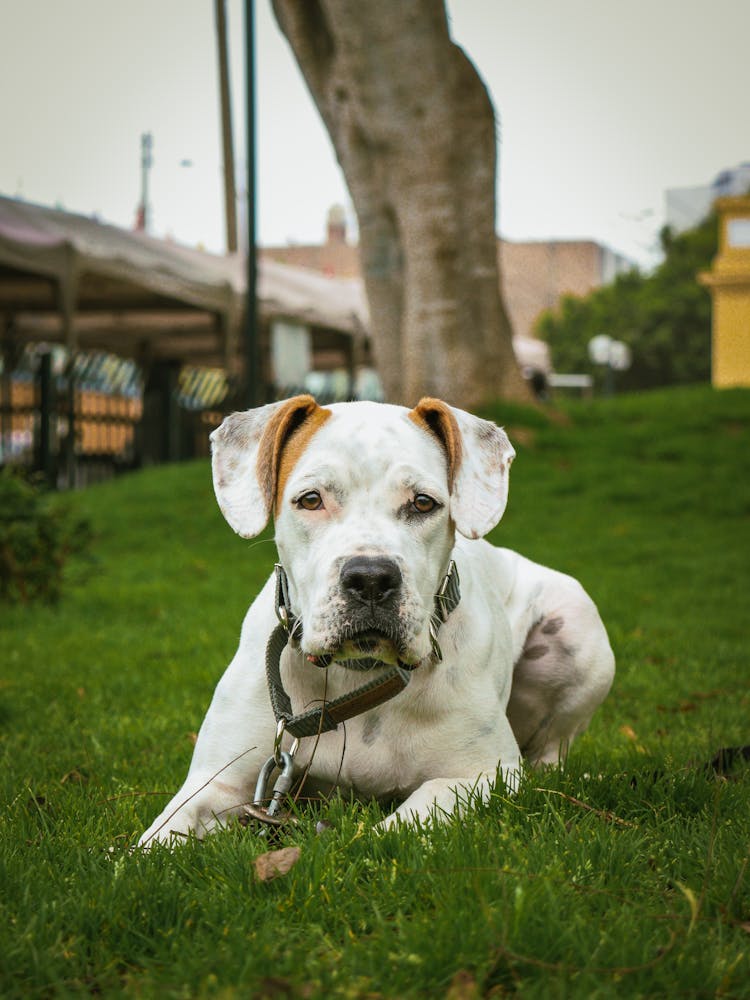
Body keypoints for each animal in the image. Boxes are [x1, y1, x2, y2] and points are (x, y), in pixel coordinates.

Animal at [141, 394, 616, 848]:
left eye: (423, 502)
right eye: (310, 499)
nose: (370, 578)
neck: (359, 676)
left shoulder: (482, 775)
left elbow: (401, 822)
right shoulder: (216, 784)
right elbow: (153, 844)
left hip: (575, 628)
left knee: (551, 755)